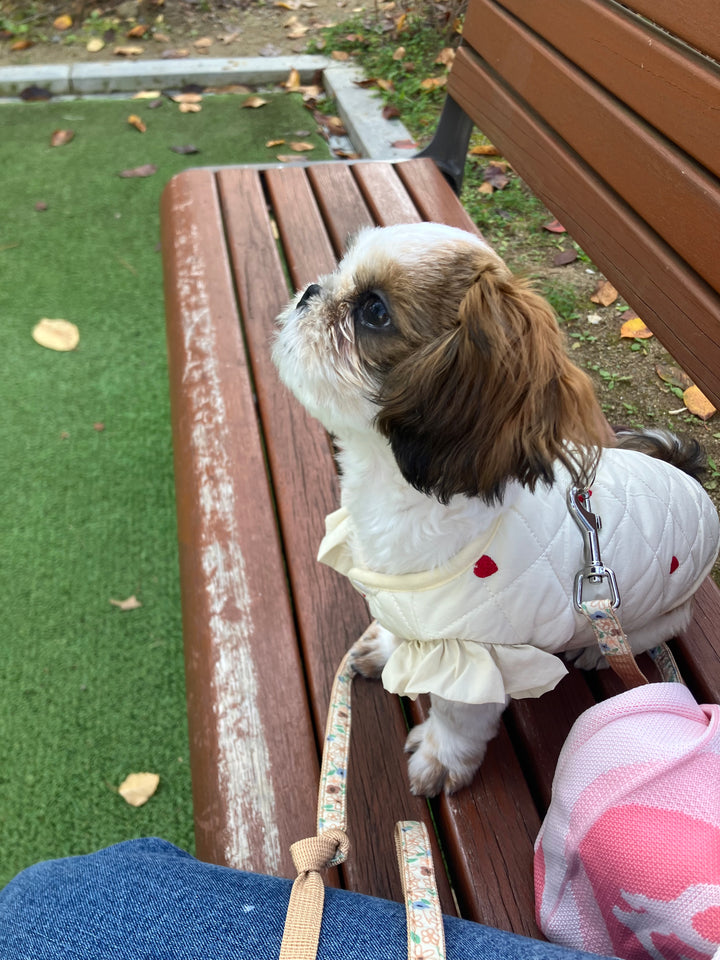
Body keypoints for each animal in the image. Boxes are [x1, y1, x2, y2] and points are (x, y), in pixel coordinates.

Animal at [272, 223, 720, 796]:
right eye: (340, 269)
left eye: (374, 311)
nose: (311, 291)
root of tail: (684, 473)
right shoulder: (415, 614)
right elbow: (402, 633)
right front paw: (387, 648)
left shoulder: (474, 656)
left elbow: (456, 718)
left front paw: (441, 759)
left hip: (657, 616)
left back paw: (592, 649)